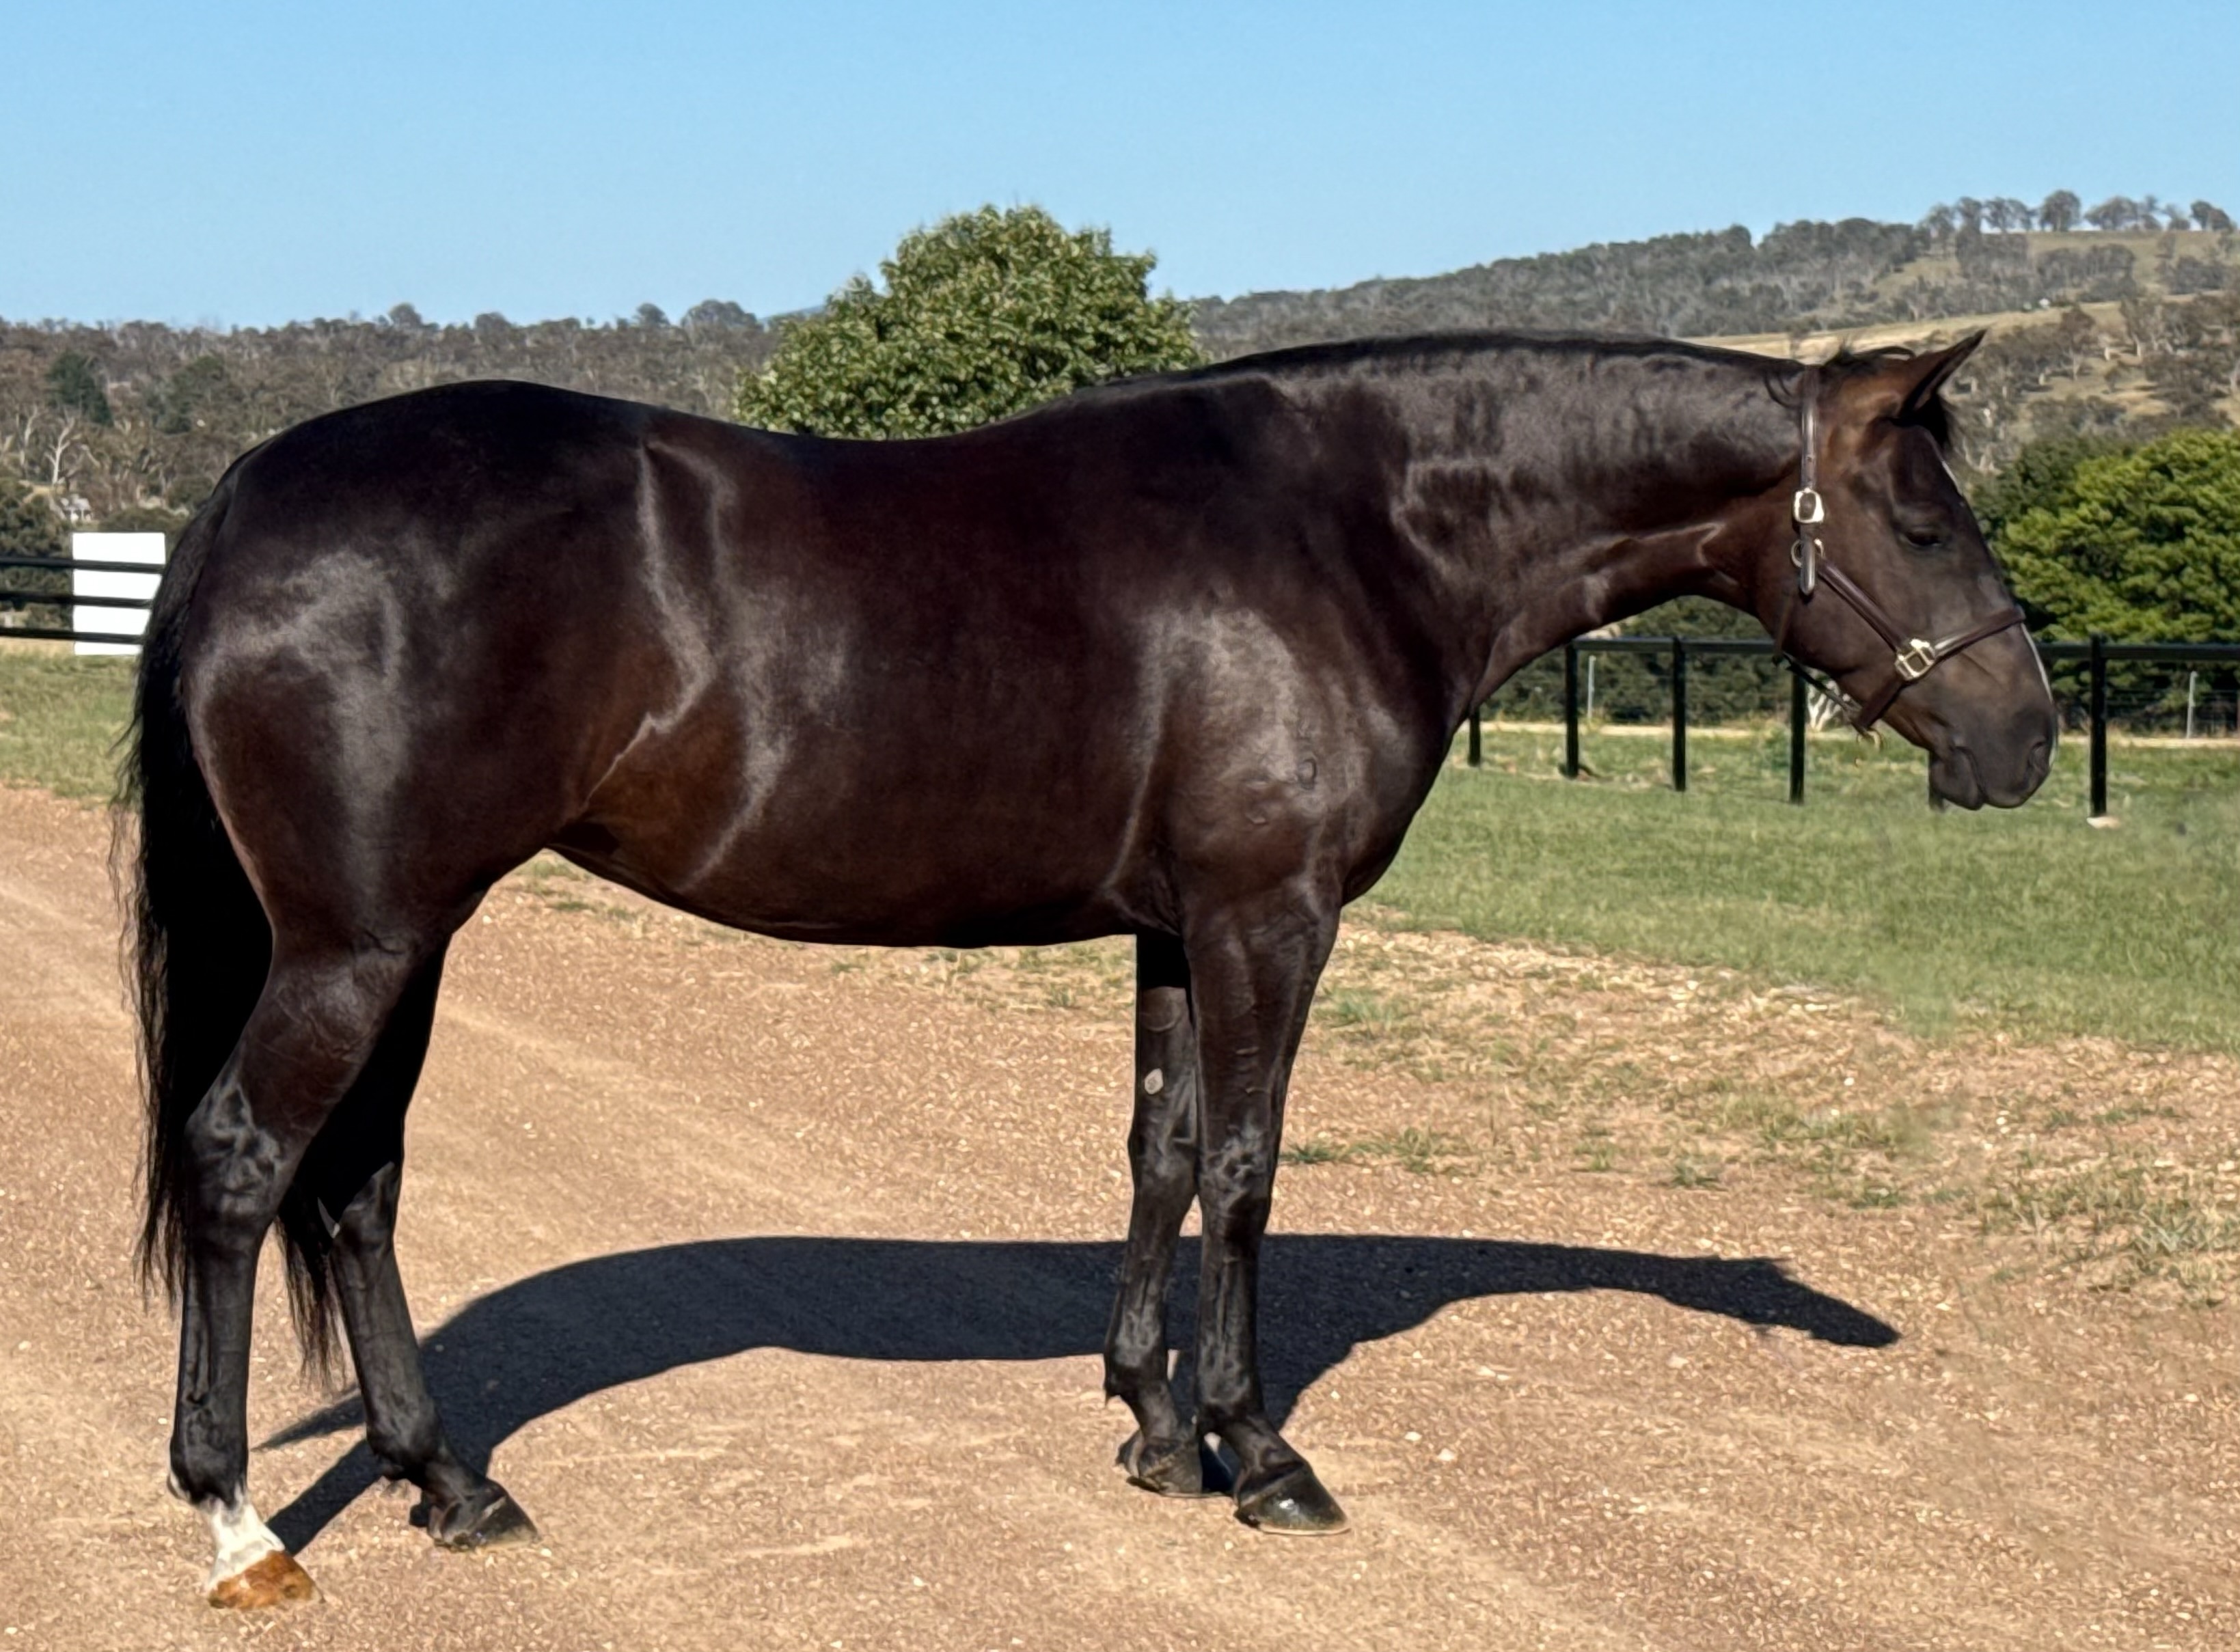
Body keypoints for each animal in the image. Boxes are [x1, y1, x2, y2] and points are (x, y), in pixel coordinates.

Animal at [125, 329, 2055, 1607]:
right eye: (1926, 521)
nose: (2028, 740)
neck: (1352, 525)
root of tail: (241, 501)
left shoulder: (1178, 926)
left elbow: (1160, 1151)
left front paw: (1146, 1424)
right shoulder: (1273, 913)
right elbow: (1249, 1167)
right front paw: (1258, 1454)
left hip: (408, 935)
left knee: (357, 1187)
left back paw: (451, 1482)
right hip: (361, 941)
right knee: (244, 1161)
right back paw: (236, 1522)